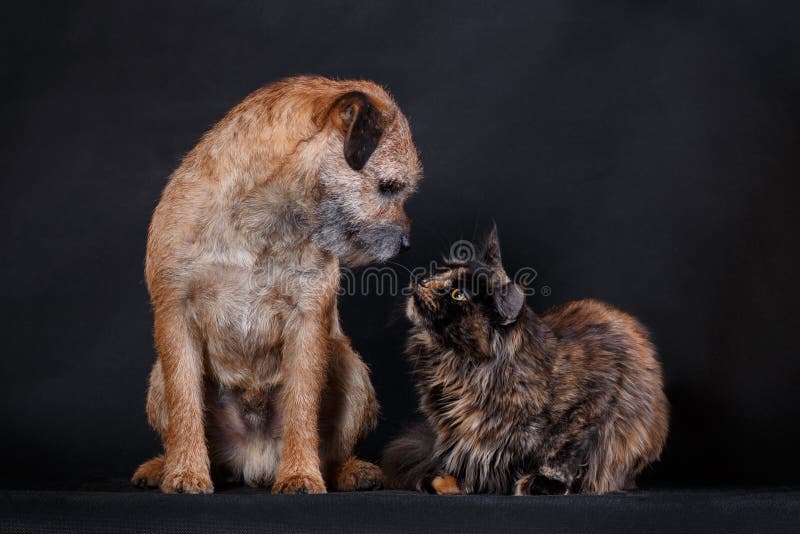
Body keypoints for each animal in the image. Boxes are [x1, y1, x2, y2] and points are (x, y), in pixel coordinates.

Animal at [130, 75, 424, 494]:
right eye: (388, 187)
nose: (406, 243)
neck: (261, 220)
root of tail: (252, 461)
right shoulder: (175, 314)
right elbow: (185, 403)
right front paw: (185, 471)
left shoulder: (308, 321)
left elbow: (301, 404)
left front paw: (300, 473)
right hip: (157, 377)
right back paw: (163, 466)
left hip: (350, 367)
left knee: (332, 450)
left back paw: (348, 470)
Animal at [382, 228, 668, 496]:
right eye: (442, 270)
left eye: (457, 295)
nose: (423, 281)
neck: (458, 368)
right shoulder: (456, 432)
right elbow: (466, 456)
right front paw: (448, 480)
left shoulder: (595, 400)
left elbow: (564, 452)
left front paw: (542, 482)